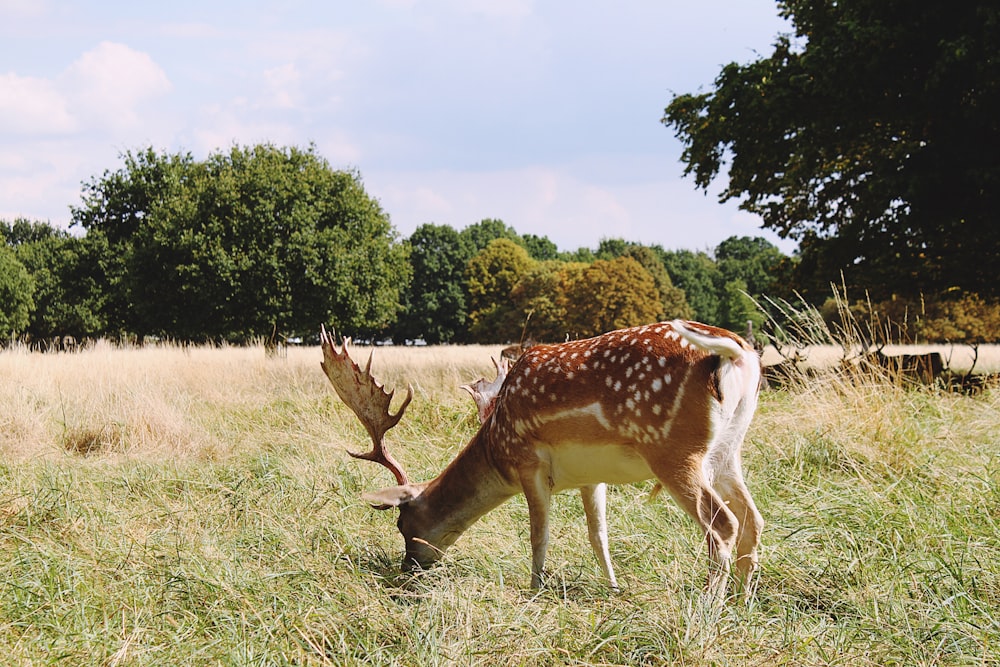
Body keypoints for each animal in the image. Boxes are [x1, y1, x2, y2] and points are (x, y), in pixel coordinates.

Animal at [320, 320, 764, 596]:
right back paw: (742, 602)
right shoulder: (591, 475)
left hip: (673, 449)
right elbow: (598, 536)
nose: (408, 568)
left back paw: (707, 607)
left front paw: (535, 589)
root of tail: (737, 354)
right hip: (726, 451)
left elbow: (539, 534)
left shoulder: (529, 463)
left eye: (402, 522)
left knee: (723, 524)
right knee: (753, 518)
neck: (496, 447)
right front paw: (614, 589)